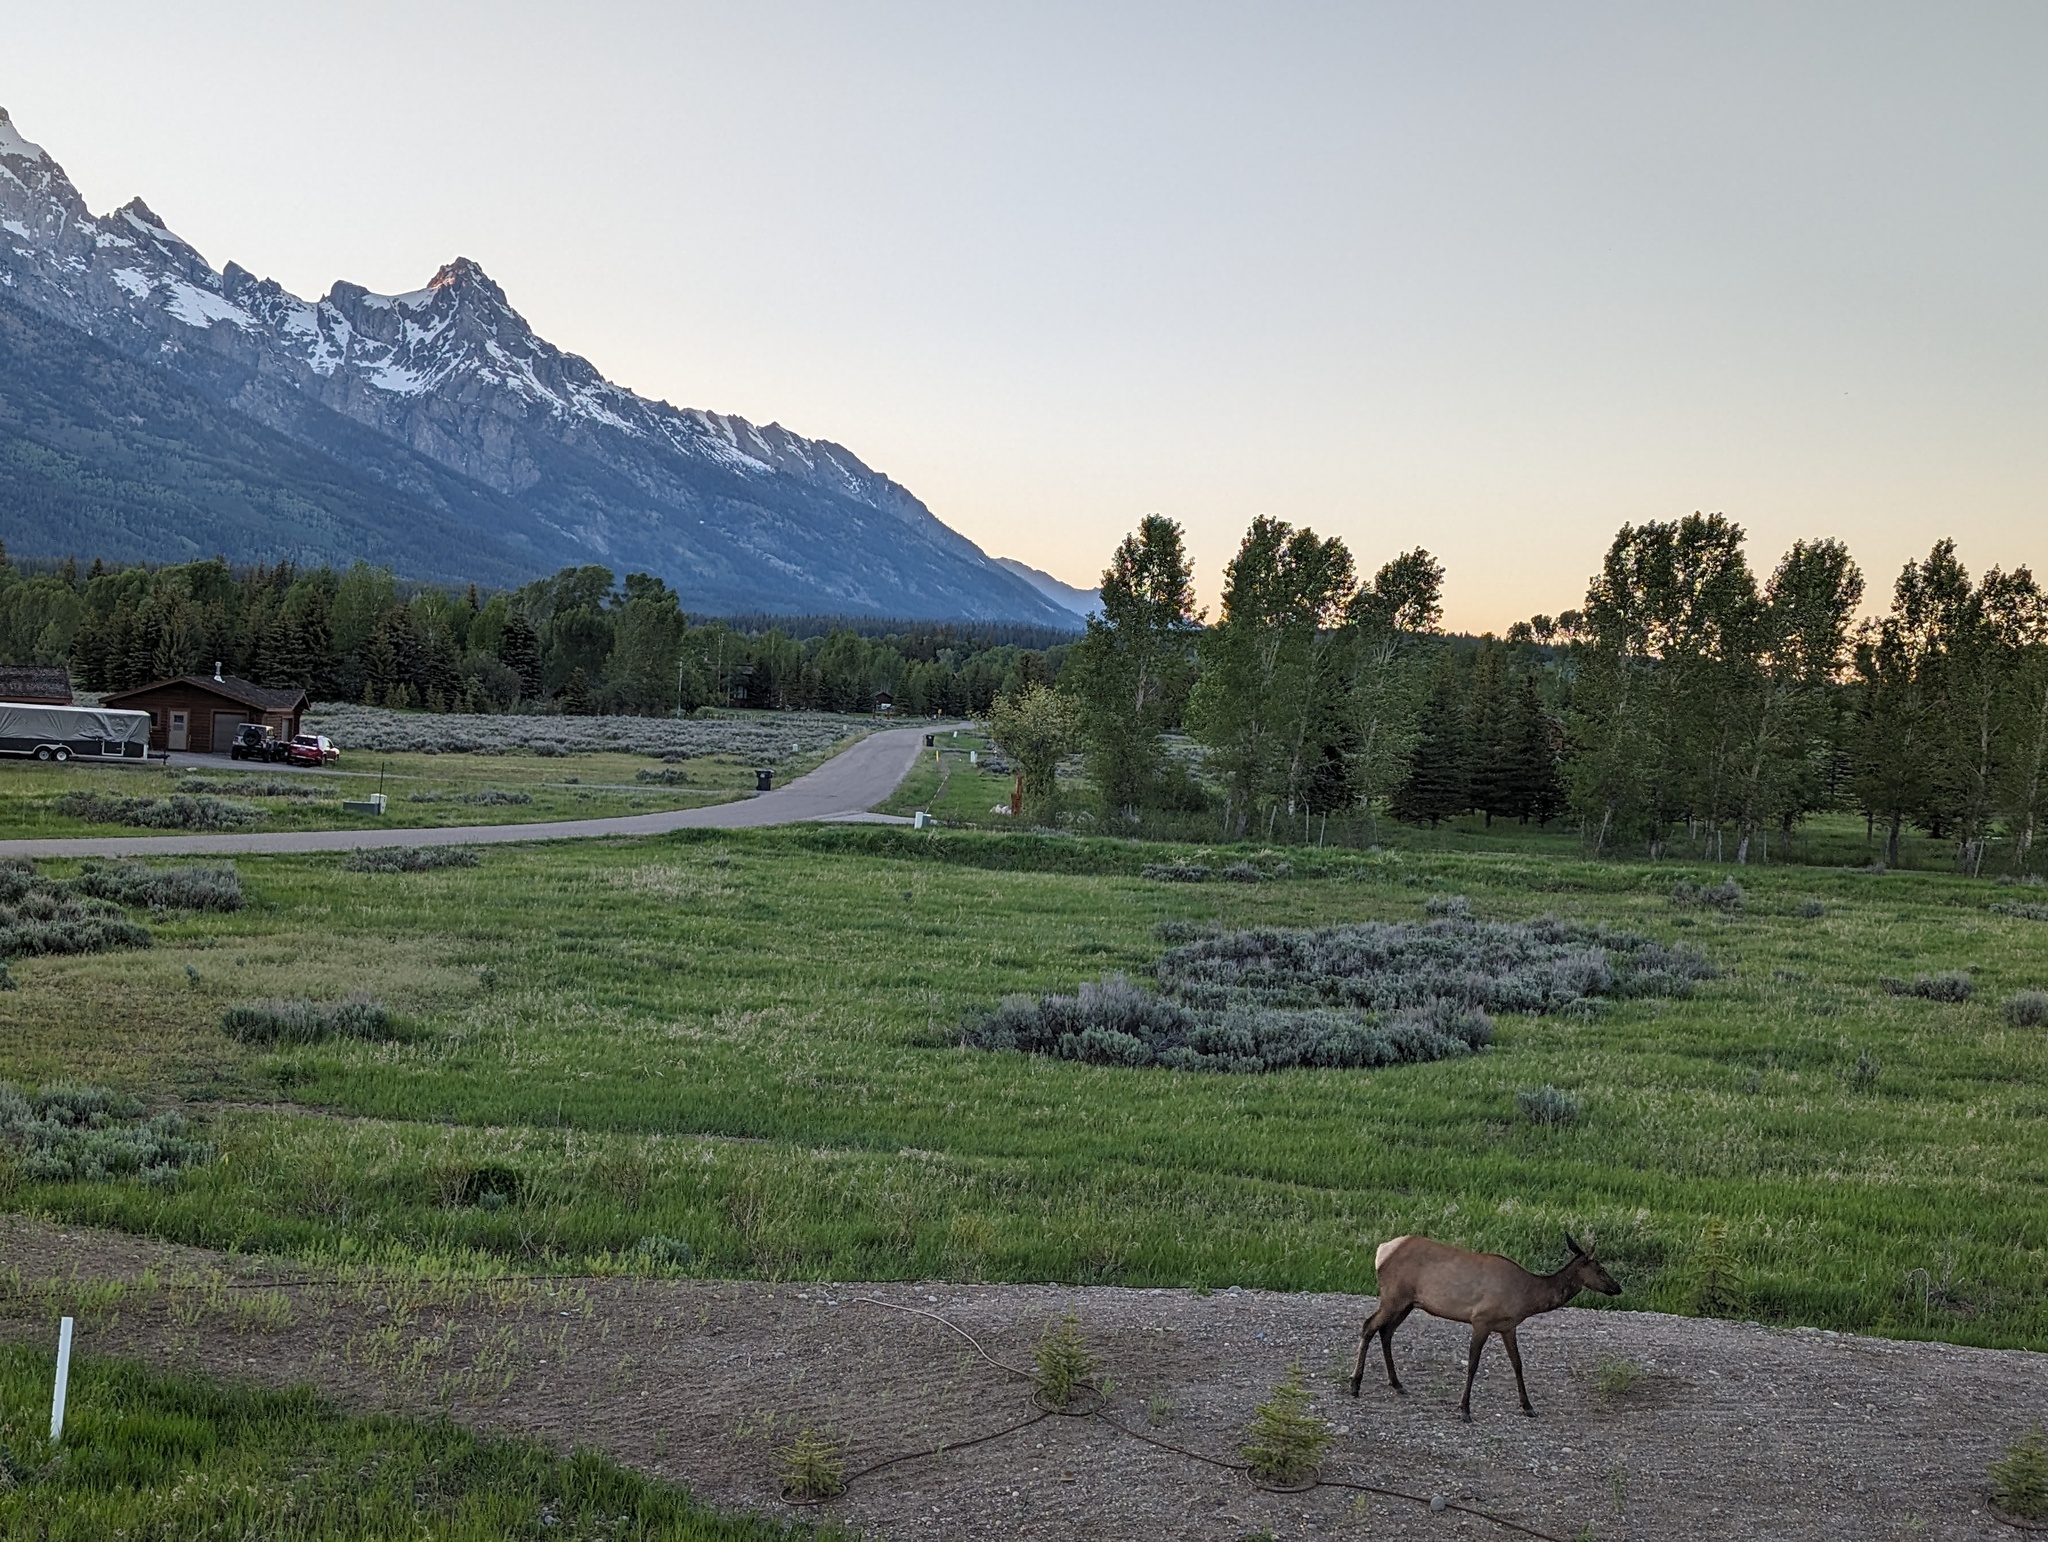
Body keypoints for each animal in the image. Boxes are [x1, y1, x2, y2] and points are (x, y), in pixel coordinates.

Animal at [1351, 1228, 1622, 1417]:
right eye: (1600, 1269)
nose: (1618, 1288)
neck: (1527, 1298)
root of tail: (1382, 1252)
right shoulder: (1481, 1319)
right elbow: (1473, 1364)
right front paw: (1464, 1409)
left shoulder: (1508, 1326)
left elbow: (1517, 1364)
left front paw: (1528, 1406)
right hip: (1394, 1296)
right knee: (1369, 1326)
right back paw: (1355, 1384)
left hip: (1408, 1302)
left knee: (1386, 1332)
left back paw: (1397, 1384)